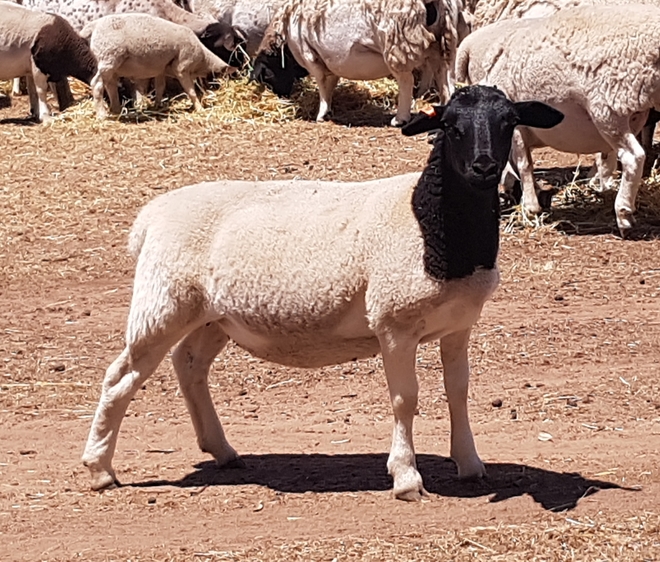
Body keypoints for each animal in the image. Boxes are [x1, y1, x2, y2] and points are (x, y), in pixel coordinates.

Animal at [81, 85, 563, 500]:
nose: (484, 167)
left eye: (508, 121)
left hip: (212, 314)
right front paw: (406, 477)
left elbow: (458, 391)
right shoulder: (393, 323)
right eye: (450, 125)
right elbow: (405, 399)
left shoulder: (459, 324)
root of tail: (149, 217)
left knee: (189, 364)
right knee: (119, 378)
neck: (433, 226)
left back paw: (221, 450)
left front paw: (470, 463)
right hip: (162, 302)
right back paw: (100, 468)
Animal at [82, 13, 234, 118]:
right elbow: (190, 91)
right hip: (109, 58)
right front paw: (199, 108)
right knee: (97, 84)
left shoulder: (161, 70)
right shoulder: (182, 68)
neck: (202, 59)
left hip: (111, 63)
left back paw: (116, 109)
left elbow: (160, 87)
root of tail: (94, 26)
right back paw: (102, 115)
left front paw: (157, 106)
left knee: (110, 85)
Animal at [252, 0, 459, 126]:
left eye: (266, 76)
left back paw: (400, 118)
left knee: (406, 81)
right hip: (441, 42)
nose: (281, 96)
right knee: (445, 79)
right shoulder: (329, 59)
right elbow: (331, 81)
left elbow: (322, 84)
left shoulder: (309, 55)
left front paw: (321, 113)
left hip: (399, 44)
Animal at [455, 4, 660, 236]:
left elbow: (524, 163)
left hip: (607, 108)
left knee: (633, 157)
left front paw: (530, 206)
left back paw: (623, 214)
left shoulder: (515, 127)